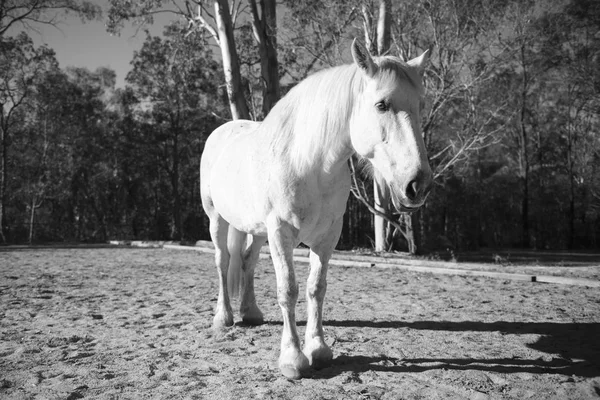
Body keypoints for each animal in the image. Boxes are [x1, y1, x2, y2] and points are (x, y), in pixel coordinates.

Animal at [200, 39, 432, 378]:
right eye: (381, 105)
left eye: (420, 106)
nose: (418, 185)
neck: (309, 164)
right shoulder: (281, 233)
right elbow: (288, 290)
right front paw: (292, 359)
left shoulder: (327, 236)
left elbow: (316, 288)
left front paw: (319, 350)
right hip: (217, 219)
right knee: (222, 261)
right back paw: (224, 318)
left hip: (256, 231)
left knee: (246, 262)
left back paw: (251, 312)